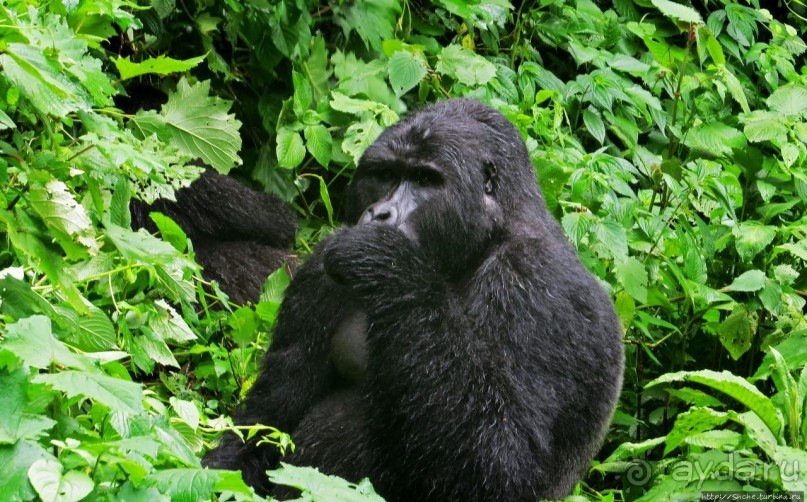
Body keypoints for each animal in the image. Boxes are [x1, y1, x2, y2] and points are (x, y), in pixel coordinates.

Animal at [204, 99, 624, 502]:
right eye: (386, 175)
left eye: (425, 180)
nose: (380, 213)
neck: (481, 241)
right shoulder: (319, 268)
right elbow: (266, 419)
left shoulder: (535, 279)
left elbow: (504, 465)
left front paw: (387, 261)